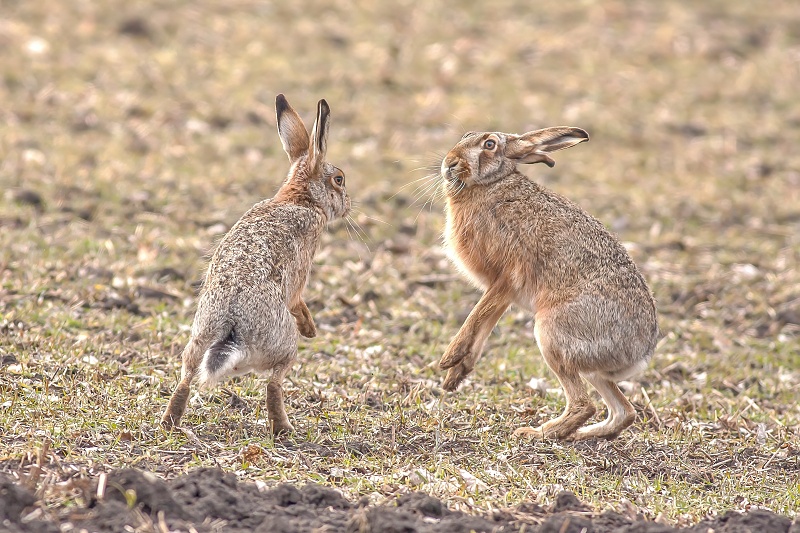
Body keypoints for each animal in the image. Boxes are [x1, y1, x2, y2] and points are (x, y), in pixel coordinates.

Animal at [161, 94, 350, 435]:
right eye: (338, 179)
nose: (348, 205)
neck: (299, 198)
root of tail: (232, 328)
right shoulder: (301, 271)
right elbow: (297, 299)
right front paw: (311, 328)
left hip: (198, 338)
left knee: (186, 375)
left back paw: (170, 422)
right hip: (285, 345)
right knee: (274, 383)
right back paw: (284, 429)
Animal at [437, 127, 659, 441]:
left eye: (489, 145)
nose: (450, 163)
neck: (491, 184)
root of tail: (640, 353)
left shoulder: (507, 277)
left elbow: (476, 316)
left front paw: (448, 358)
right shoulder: (502, 292)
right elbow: (484, 324)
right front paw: (454, 376)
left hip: (552, 334)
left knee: (583, 404)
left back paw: (536, 433)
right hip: (593, 369)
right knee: (623, 412)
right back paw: (579, 435)